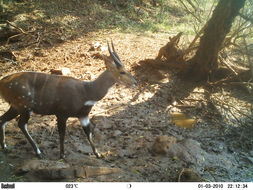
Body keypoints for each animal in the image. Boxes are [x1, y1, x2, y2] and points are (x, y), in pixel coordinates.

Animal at [0, 41, 136, 159]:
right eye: (122, 72)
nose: (135, 82)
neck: (87, 92)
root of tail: (2, 82)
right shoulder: (61, 113)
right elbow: (62, 133)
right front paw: (62, 155)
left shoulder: (83, 115)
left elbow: (88, 133)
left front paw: (98, 154)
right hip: (24, 106)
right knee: (21, 124)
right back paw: (38, 152)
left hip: (16, 106)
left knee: (3, 119)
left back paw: (5, 147)